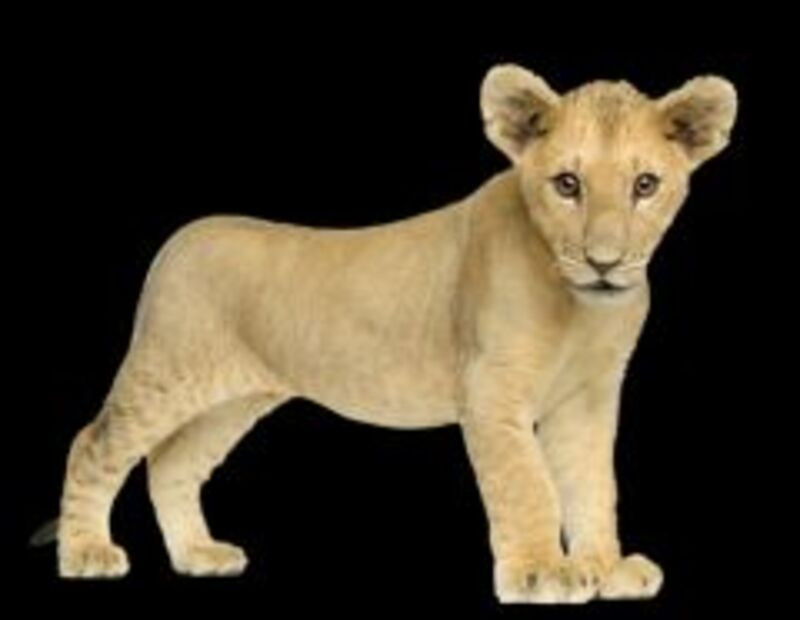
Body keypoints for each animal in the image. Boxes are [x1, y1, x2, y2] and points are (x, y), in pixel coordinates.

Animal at [42, 64, 736, 604]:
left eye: (645, 185)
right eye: (568, 184)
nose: (604, 261)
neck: (580, 305)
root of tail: (180, 237)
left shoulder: (587, 401)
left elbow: (592, 484)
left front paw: (604, 568)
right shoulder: (492, 394)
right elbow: (528, 485)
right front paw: (544, 573)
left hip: (233, 402)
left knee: (171, 464)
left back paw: (196, 554)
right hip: (167, 371)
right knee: (93, 445)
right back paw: (87, 553)